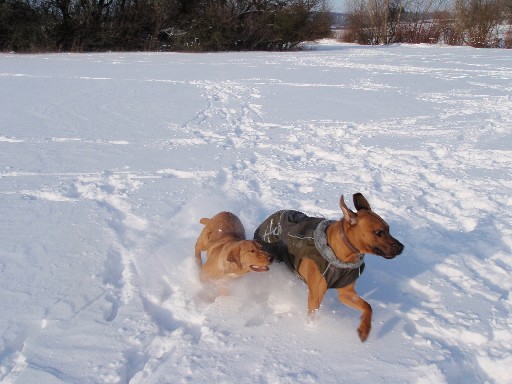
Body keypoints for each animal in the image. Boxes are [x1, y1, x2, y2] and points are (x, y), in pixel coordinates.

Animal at [253, 194, 404, 340]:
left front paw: (364, 329)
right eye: (379, 232)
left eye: (388, 229)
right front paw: (311, 329)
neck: (342, 255)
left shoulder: (346, 293)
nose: (401, 247)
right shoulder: (315, 296)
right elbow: (312, 315)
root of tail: (270, 217)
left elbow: (368, 306)